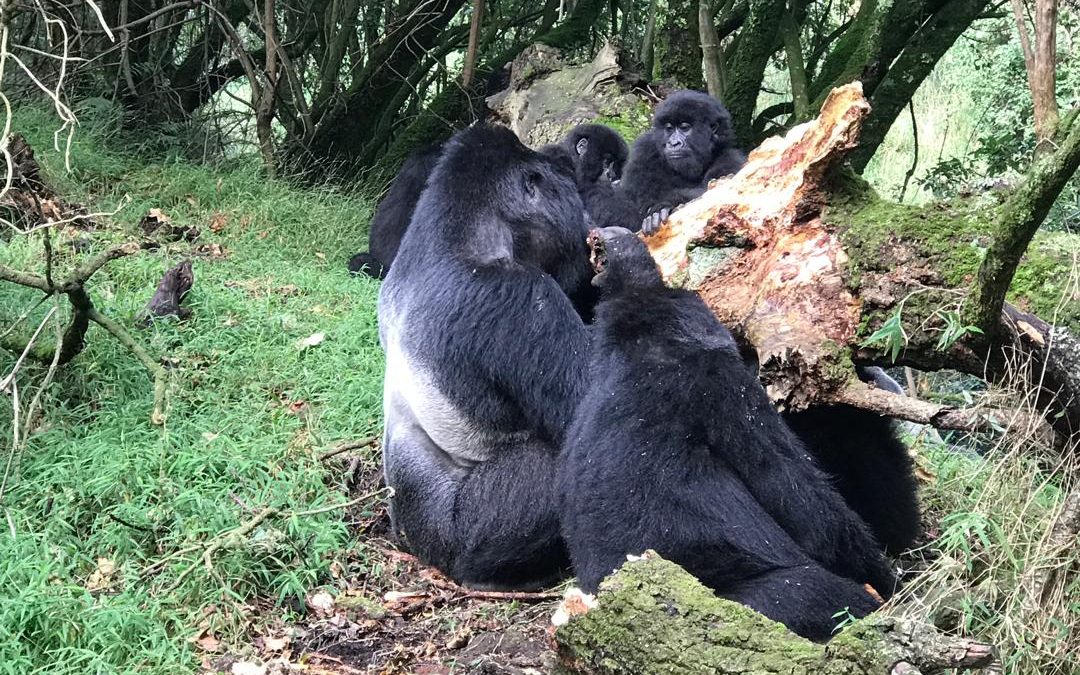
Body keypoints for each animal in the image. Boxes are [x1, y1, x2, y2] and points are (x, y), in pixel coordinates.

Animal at [622, 89, 747, 233]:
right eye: (669, 129)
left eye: (684, 128)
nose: (673, 143)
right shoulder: (642, 151)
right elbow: (632, 212)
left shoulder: (732, 158)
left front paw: (663, 206)